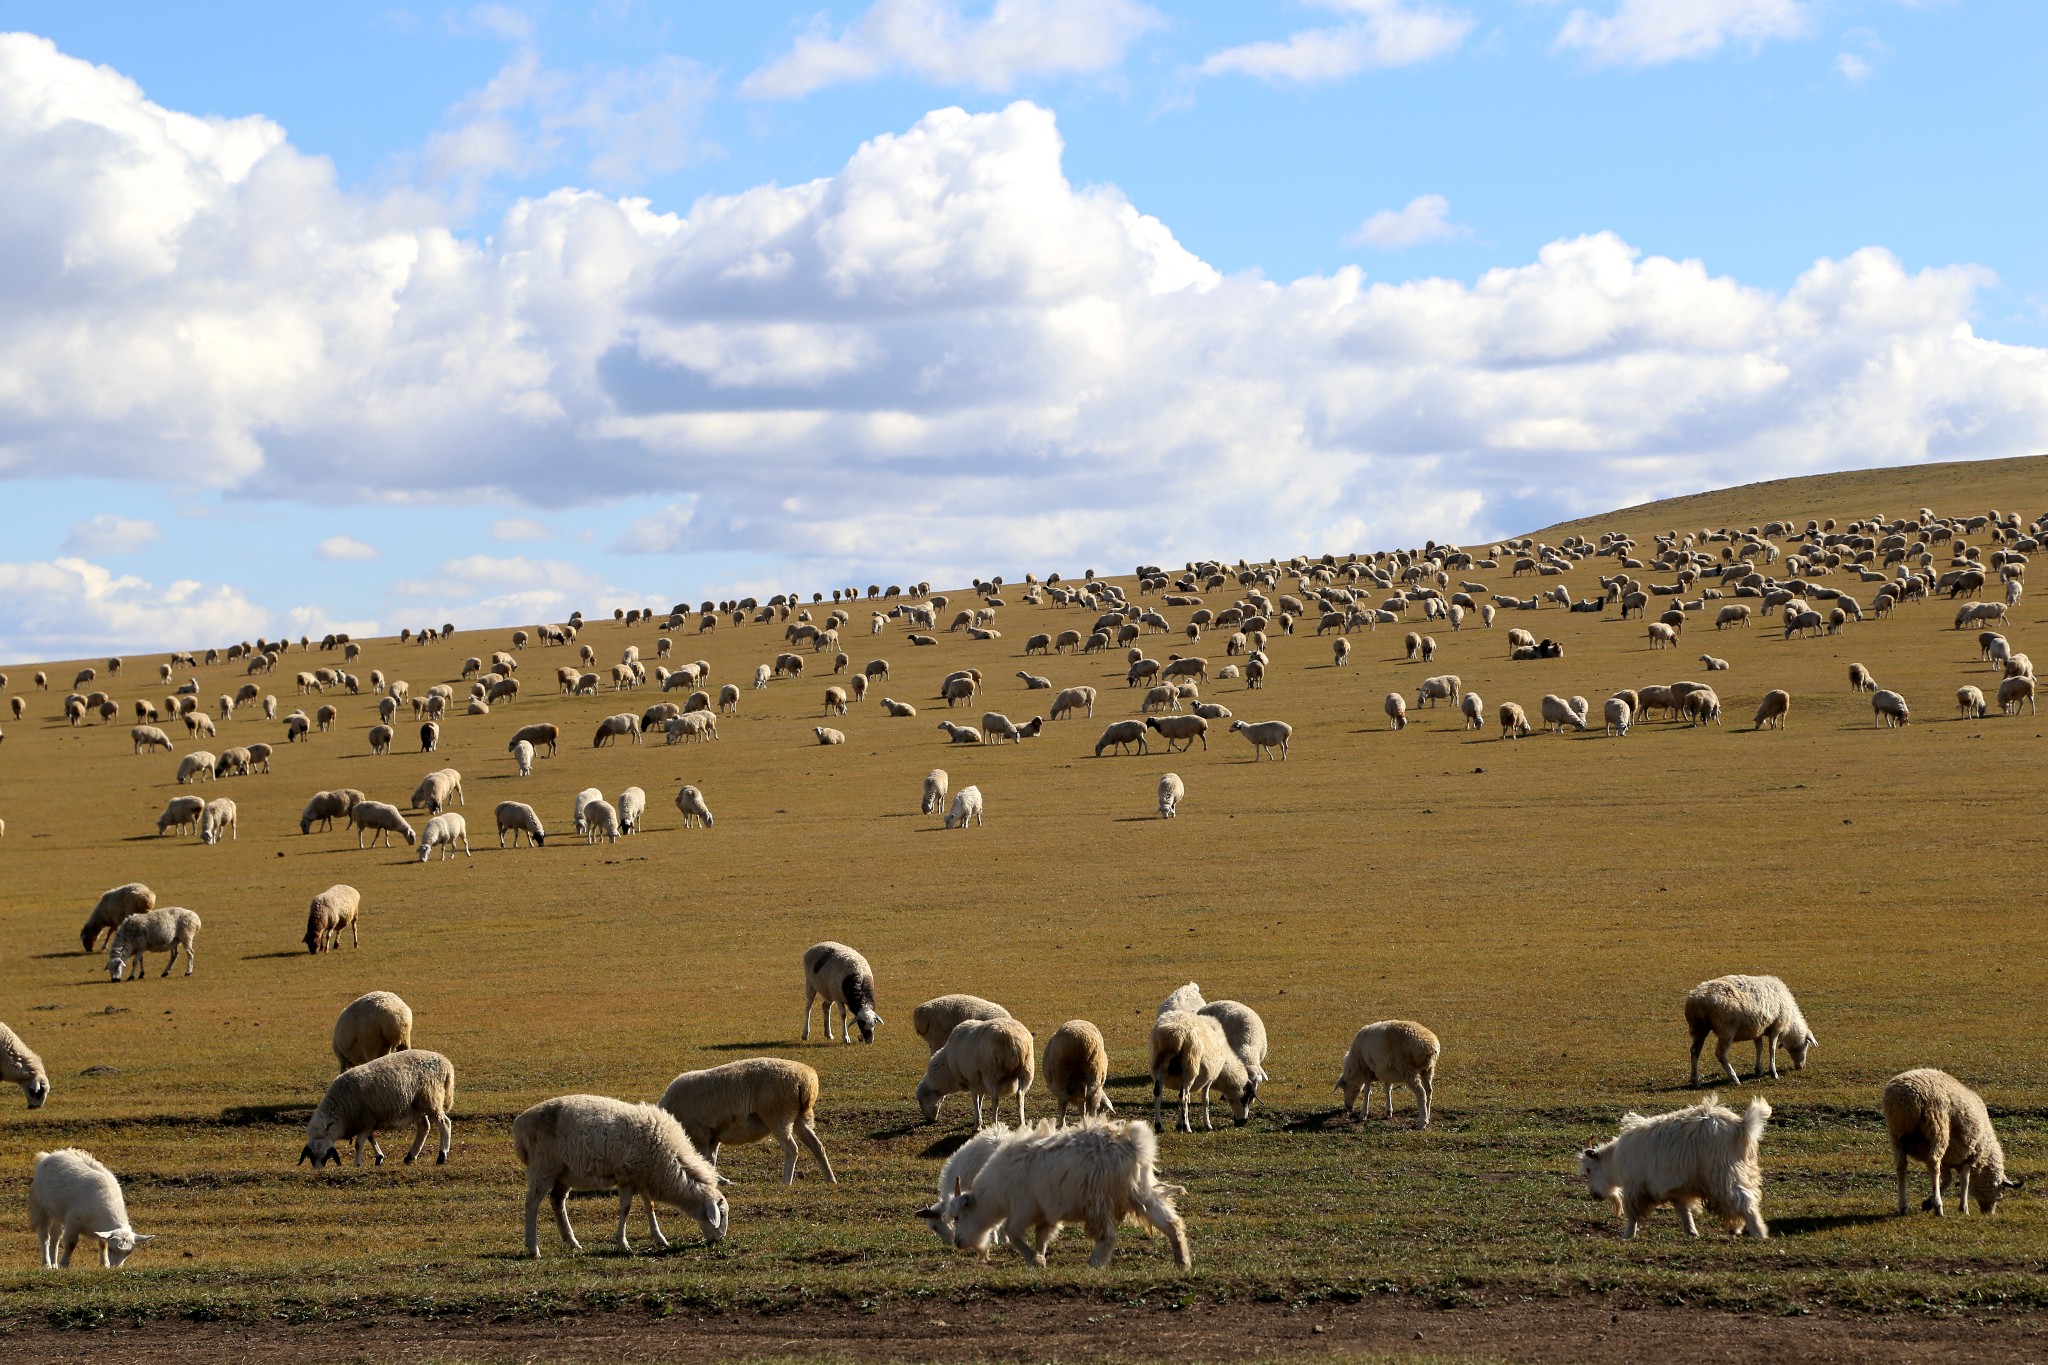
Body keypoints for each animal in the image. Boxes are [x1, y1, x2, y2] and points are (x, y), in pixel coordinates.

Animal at [299, 1047, 454, 1162]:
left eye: (325, 1156)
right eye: (311, 1157)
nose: (318, 1170)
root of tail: (446, 1063)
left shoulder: (365, 1118)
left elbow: (361, 1141)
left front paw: (363, 1161)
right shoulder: (367, 1119)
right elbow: (369, 1137)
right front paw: (379, 1157)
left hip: (431, 1097)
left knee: (444, 1123)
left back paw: (442, 1155)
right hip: (416, 1105)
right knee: (424, 1127)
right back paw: (410, 1156)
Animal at [520, 1096, 729, 1260]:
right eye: (722, 1213)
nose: (719, 1240)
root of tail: (520, 1123)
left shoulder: (642, 1177)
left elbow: (650, 1206)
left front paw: (660, 1238)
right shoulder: (626, 1176)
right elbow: (626, 1209)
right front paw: (623, 1243)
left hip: (564, 1172)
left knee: (557, 1201)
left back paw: (572, 1242)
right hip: (543, 1166)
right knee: (531, 1204)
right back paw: (533, 1248)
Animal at [1572, 1096, 1769, 1244]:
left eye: (1589, 1169)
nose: (1594, 1195)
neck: (1616, 1161)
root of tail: (1741, 1126)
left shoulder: (1635, 1187)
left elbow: (1633, 1214)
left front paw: (1627, 1235)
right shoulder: (1675, 1190)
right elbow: (1684, 1211)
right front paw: (1691, 1232)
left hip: (1724, 1173)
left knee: (1744, 1199)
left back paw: (1758, 1233)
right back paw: (1737, 1229)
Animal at [1687, 970, 1818, 1088]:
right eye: (1806, 1045)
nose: (1800, 1067)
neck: (1789, 1026)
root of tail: (1698, 999)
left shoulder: (1758, 1029)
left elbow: (1759, 1048)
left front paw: (1758, 1070)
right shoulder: (1776, 1027)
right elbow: (1772, 1049)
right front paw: (1773, 1072)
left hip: (1699, 1028)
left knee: (1695, 1051)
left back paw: (1695, 1081)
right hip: (1726, 1029)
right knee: (1720, 1053)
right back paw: (1734, 1078)